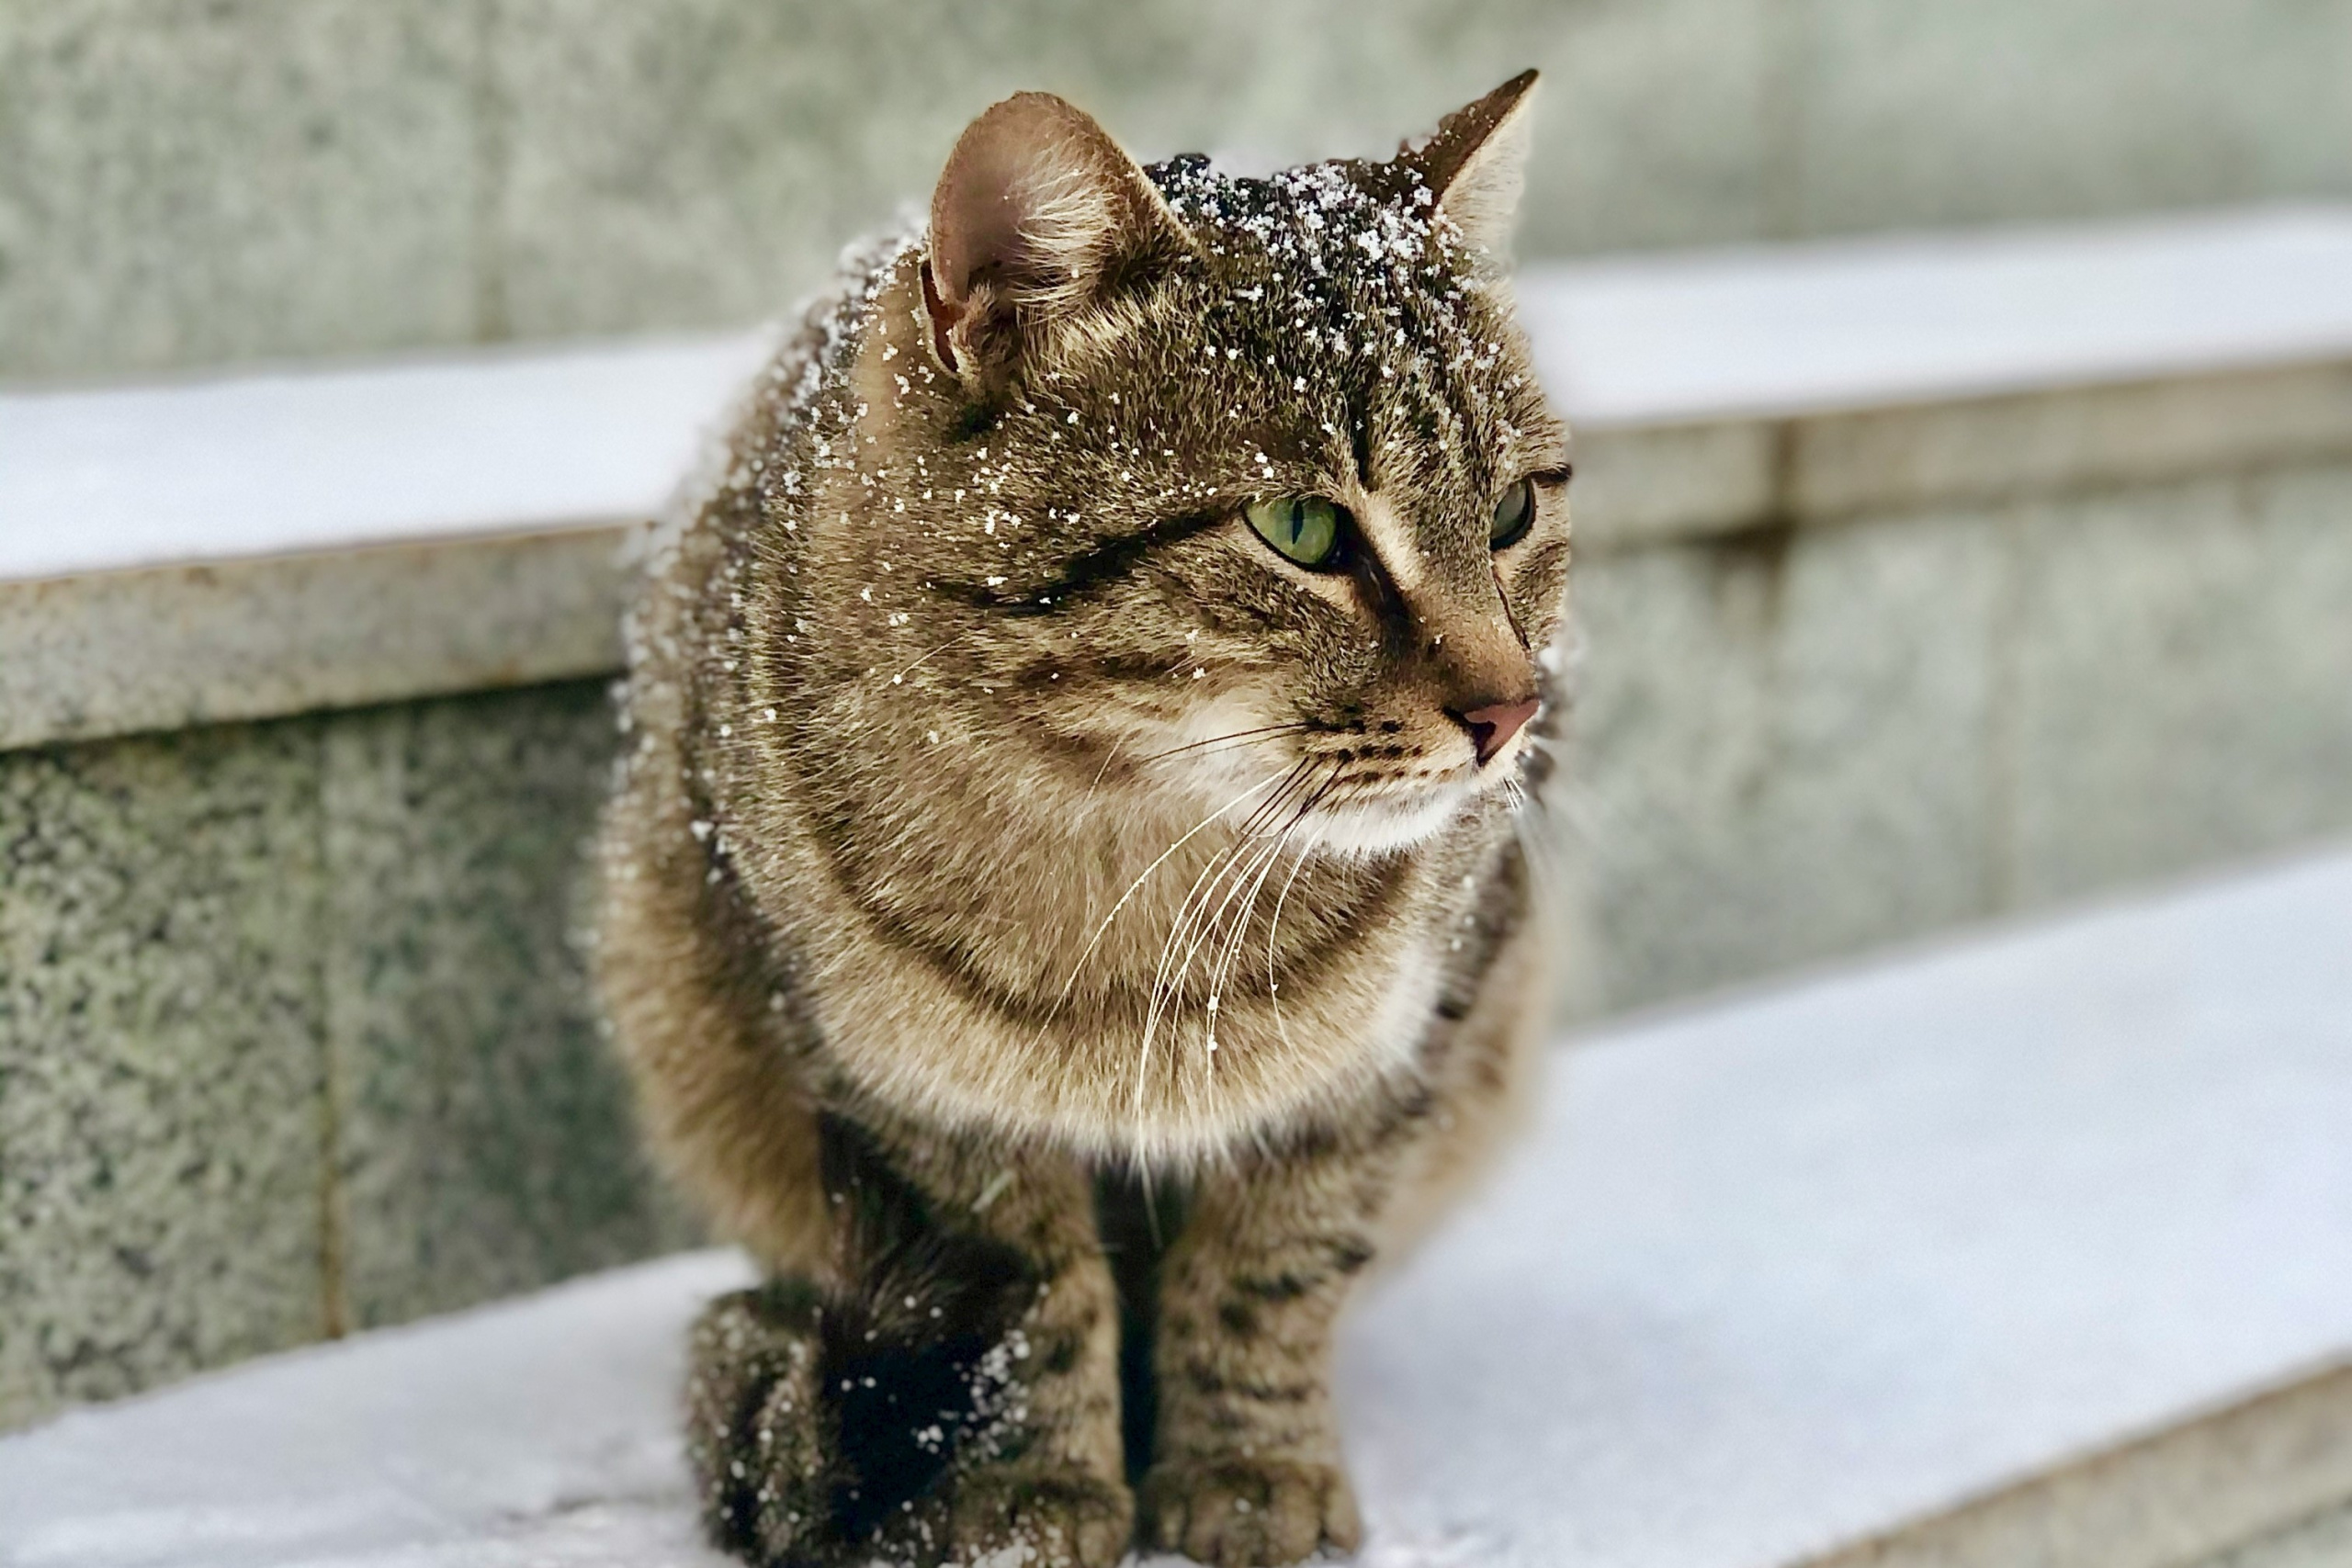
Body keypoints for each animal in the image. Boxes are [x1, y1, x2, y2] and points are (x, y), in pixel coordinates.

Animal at [597, 70, 1571, 1568]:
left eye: (1514, 508)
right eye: (1303, 529)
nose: (1515, 711)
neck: (1134, 849)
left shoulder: (1411, 1036)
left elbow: (1272, 1268)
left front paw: (1249, 1467)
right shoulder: (898, 1085)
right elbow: (1030, 1297)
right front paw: (1026, 1496)